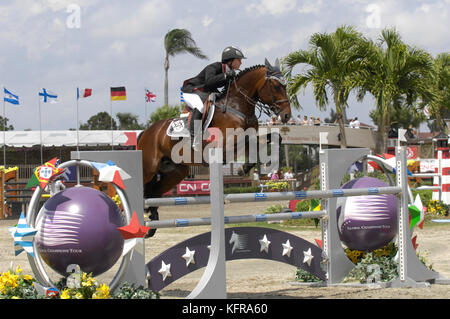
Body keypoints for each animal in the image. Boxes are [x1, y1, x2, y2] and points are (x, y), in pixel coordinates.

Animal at [137, 58, 292, 238]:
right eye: (276, 86)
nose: (287, 115)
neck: (237, 106)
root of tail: (146, 132)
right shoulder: (226, 144)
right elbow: (249, 141)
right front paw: (243, 168)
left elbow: (271, 138)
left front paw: (246, 167)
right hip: (149, 168)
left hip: (175, 172)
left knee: (153, 193)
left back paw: (151, 225)